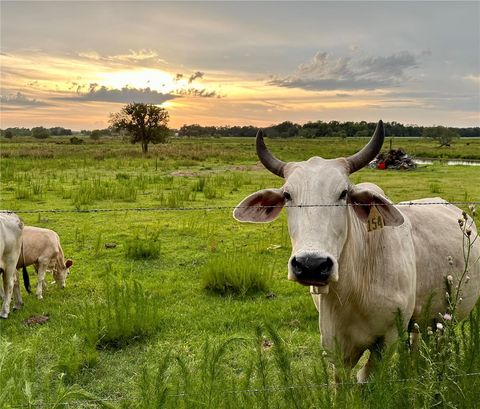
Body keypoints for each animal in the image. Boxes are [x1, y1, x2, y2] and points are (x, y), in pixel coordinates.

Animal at [235, 120, 480, 380]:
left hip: (444, 321)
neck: (352, 290)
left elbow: (365, 378)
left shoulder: (390, 337)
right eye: (287, 195)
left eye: (343, 193)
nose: (311, 265)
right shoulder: (334, 343)